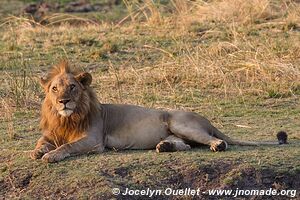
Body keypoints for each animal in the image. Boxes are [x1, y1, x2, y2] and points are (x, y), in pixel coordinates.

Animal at [30, 61, 284, 162]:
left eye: (72, 87)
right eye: (54, 88)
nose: (63, 101)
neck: (66, 119)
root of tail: (206, 119)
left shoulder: (93, 140)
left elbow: (68, 146)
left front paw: (51, 155)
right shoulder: (51, 133)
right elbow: (41, 142)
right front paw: (38, 152)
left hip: (180, 122)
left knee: (213, 140)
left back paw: (217, 145)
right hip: (178, 133)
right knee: (186, 145)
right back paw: (164, 146)